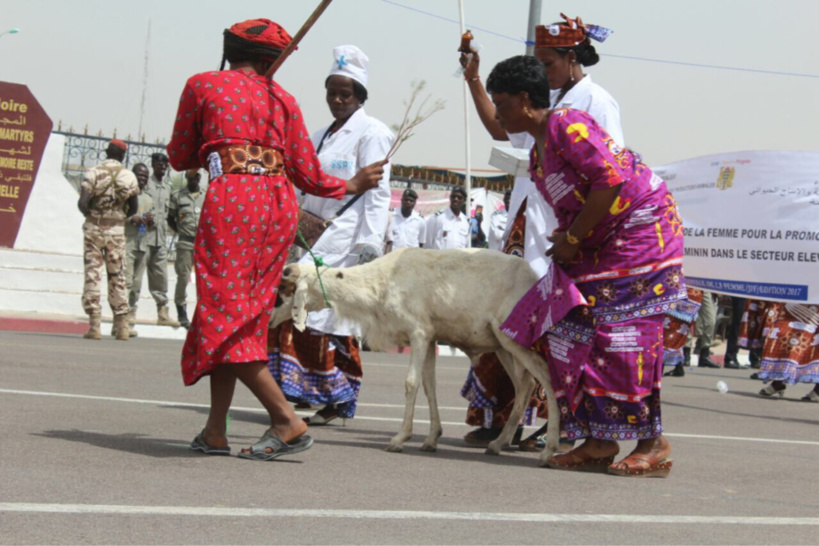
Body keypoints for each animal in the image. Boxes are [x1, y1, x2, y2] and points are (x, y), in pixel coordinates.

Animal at [278, 246, 560, 464]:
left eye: (288, 292)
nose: (272, 316)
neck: (378, 285)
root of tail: (533, 277)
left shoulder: (419, 332)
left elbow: (411, 383)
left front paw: (400, 438)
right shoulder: (431, 337)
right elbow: (429, 386)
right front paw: (432, 438)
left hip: (514, 340)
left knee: (546, 378)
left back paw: (549, 449)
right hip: (501, 346)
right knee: (525, 385)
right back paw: (499, 443)